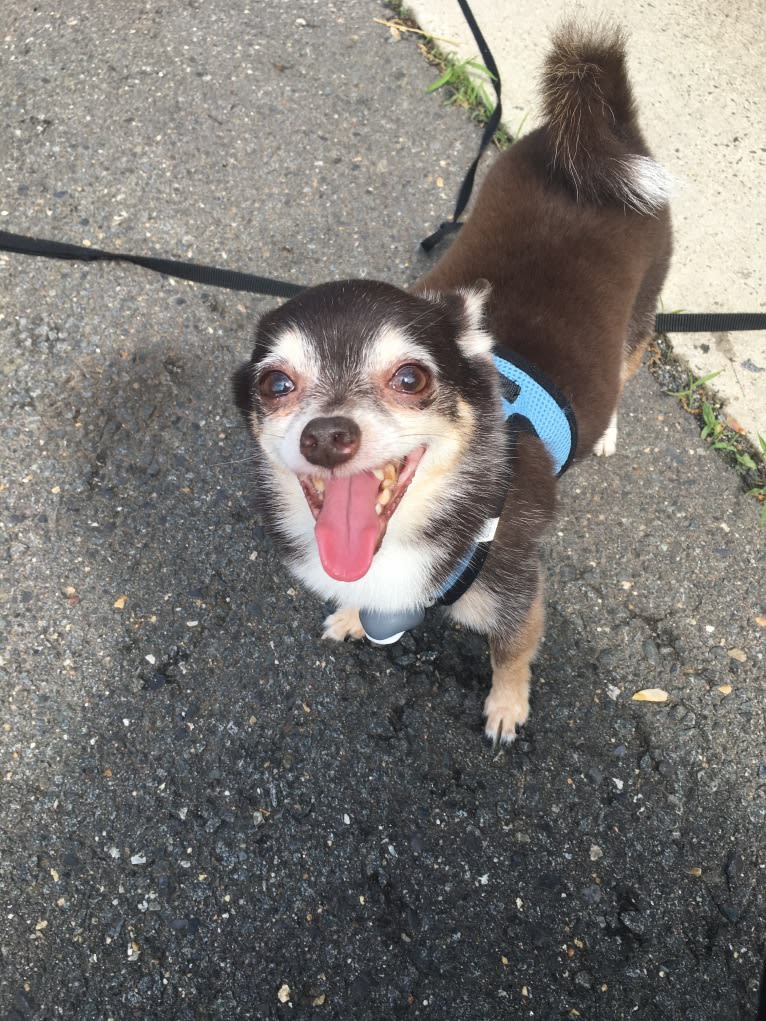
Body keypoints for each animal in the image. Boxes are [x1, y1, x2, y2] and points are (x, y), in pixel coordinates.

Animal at [232, 21, 669, 743]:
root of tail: (596, 137)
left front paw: (507, 707)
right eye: (275, 385)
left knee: (628, 367)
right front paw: (352, 616)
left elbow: (511, 654)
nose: (326, 436)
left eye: (411, 377)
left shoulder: (519, 593)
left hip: (640, 319)